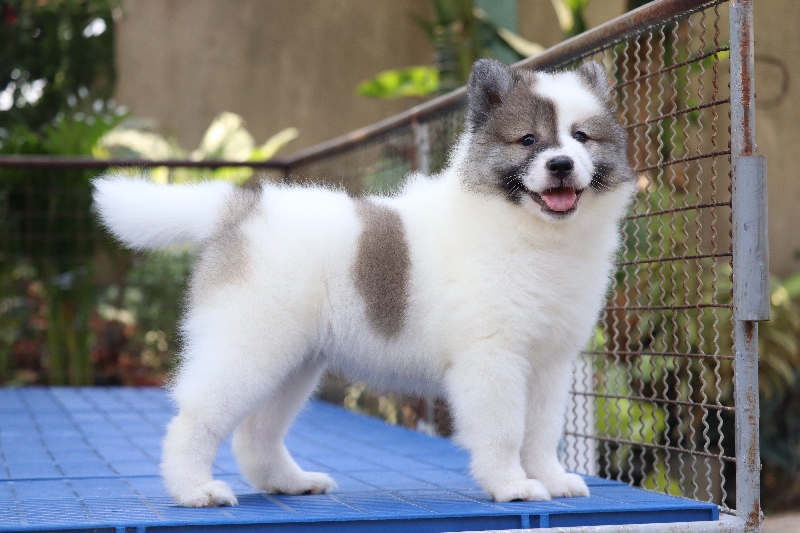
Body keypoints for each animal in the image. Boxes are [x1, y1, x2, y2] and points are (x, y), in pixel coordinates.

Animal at [93, 58, 634, 508]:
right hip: (247, 349)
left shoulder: (549, 364)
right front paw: (512, 486)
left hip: (292, 362)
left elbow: (541, 432)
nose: (561, 164)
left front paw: (551, 479)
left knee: (255, 436)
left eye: (581, 137)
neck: (531, 233)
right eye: (528, 141)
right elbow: (504, 432)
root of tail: (241, 210)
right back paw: (194, 490)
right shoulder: (493, 360)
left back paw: (290, 483)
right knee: (194, 419)